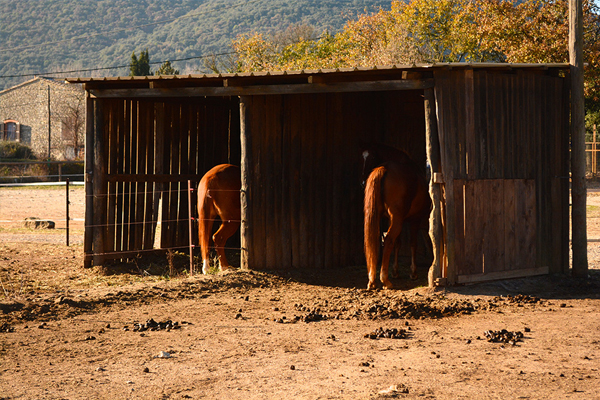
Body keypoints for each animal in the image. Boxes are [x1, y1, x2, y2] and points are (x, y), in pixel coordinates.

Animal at [360, 142, 432, 290]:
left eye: (373, 157)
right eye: (361, 159)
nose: (363, 182)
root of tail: (384, 169)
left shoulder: (392, 219)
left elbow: (398, 244)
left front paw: (395, 271)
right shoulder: (413, 219)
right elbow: (412, 244)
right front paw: (413, 272)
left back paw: (372, 280)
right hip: (398, 221)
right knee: (388, 240)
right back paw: (385, 280)